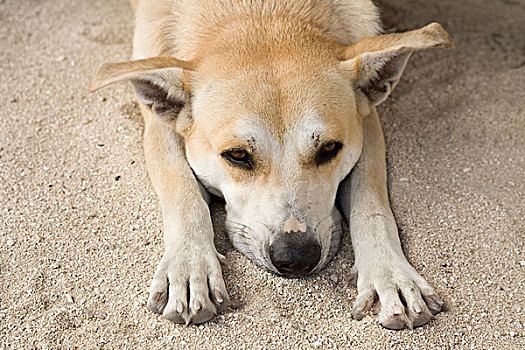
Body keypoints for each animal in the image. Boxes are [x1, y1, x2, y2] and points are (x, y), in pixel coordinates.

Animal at [89, 0, 450, 330]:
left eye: (329, 148)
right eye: (236, 155)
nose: (297, 258)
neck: (260, 12)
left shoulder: (367, 123)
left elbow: (371, 202)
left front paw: (390, 273)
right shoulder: (158, 125)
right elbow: (183, 192)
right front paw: (190, 266)